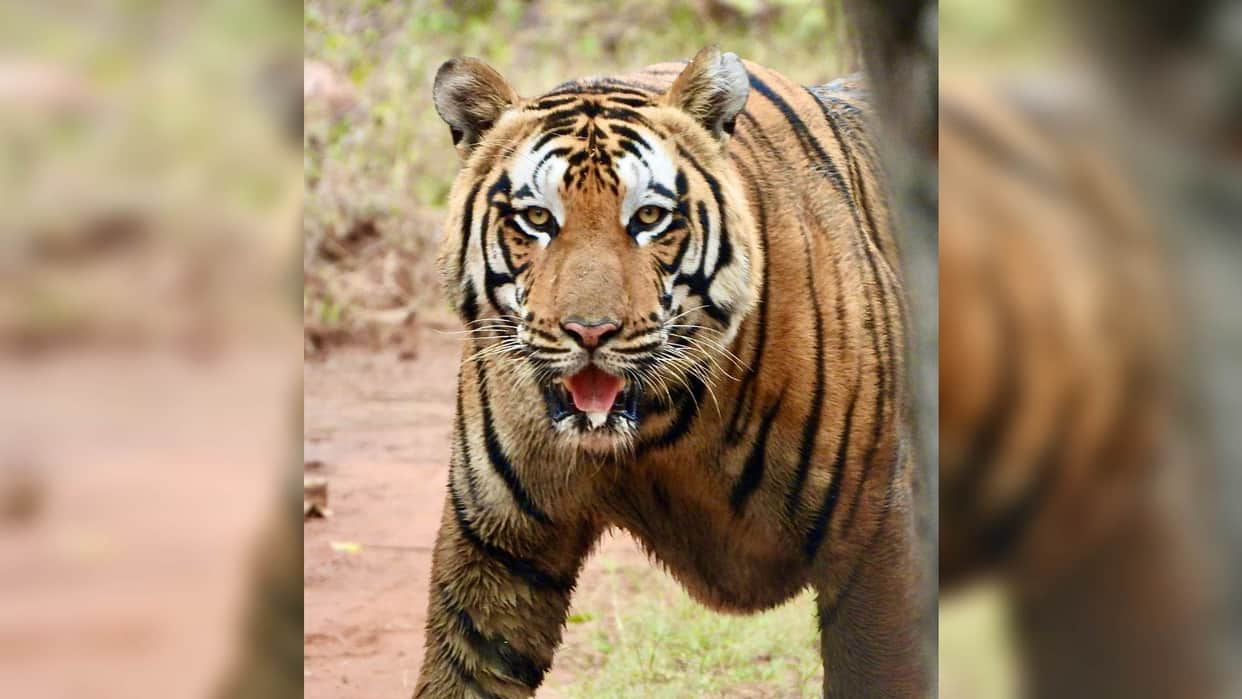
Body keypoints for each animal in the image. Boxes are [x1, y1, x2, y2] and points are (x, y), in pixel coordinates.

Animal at [414, 47, 928, 698]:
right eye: (536, 218)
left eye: (650, 217)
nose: (590, 332)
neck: (661, 426)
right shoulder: (497, 547)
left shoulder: (873, 536)